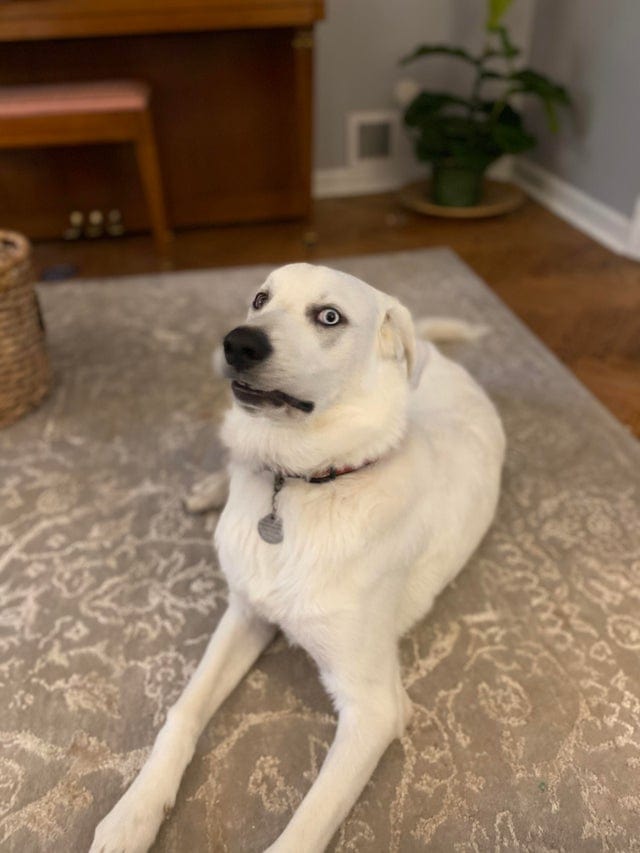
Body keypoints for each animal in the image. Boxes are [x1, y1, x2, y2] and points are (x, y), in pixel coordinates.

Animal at [90, 262, 505, 853]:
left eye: (329, 316)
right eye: (260, 298)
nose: (238, 343)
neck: (304, 484)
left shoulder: (374, 707)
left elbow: (306, 826)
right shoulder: (244, 613)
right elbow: (182, 711)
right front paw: (133, 812)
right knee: (234, 452)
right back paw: (211, 488)